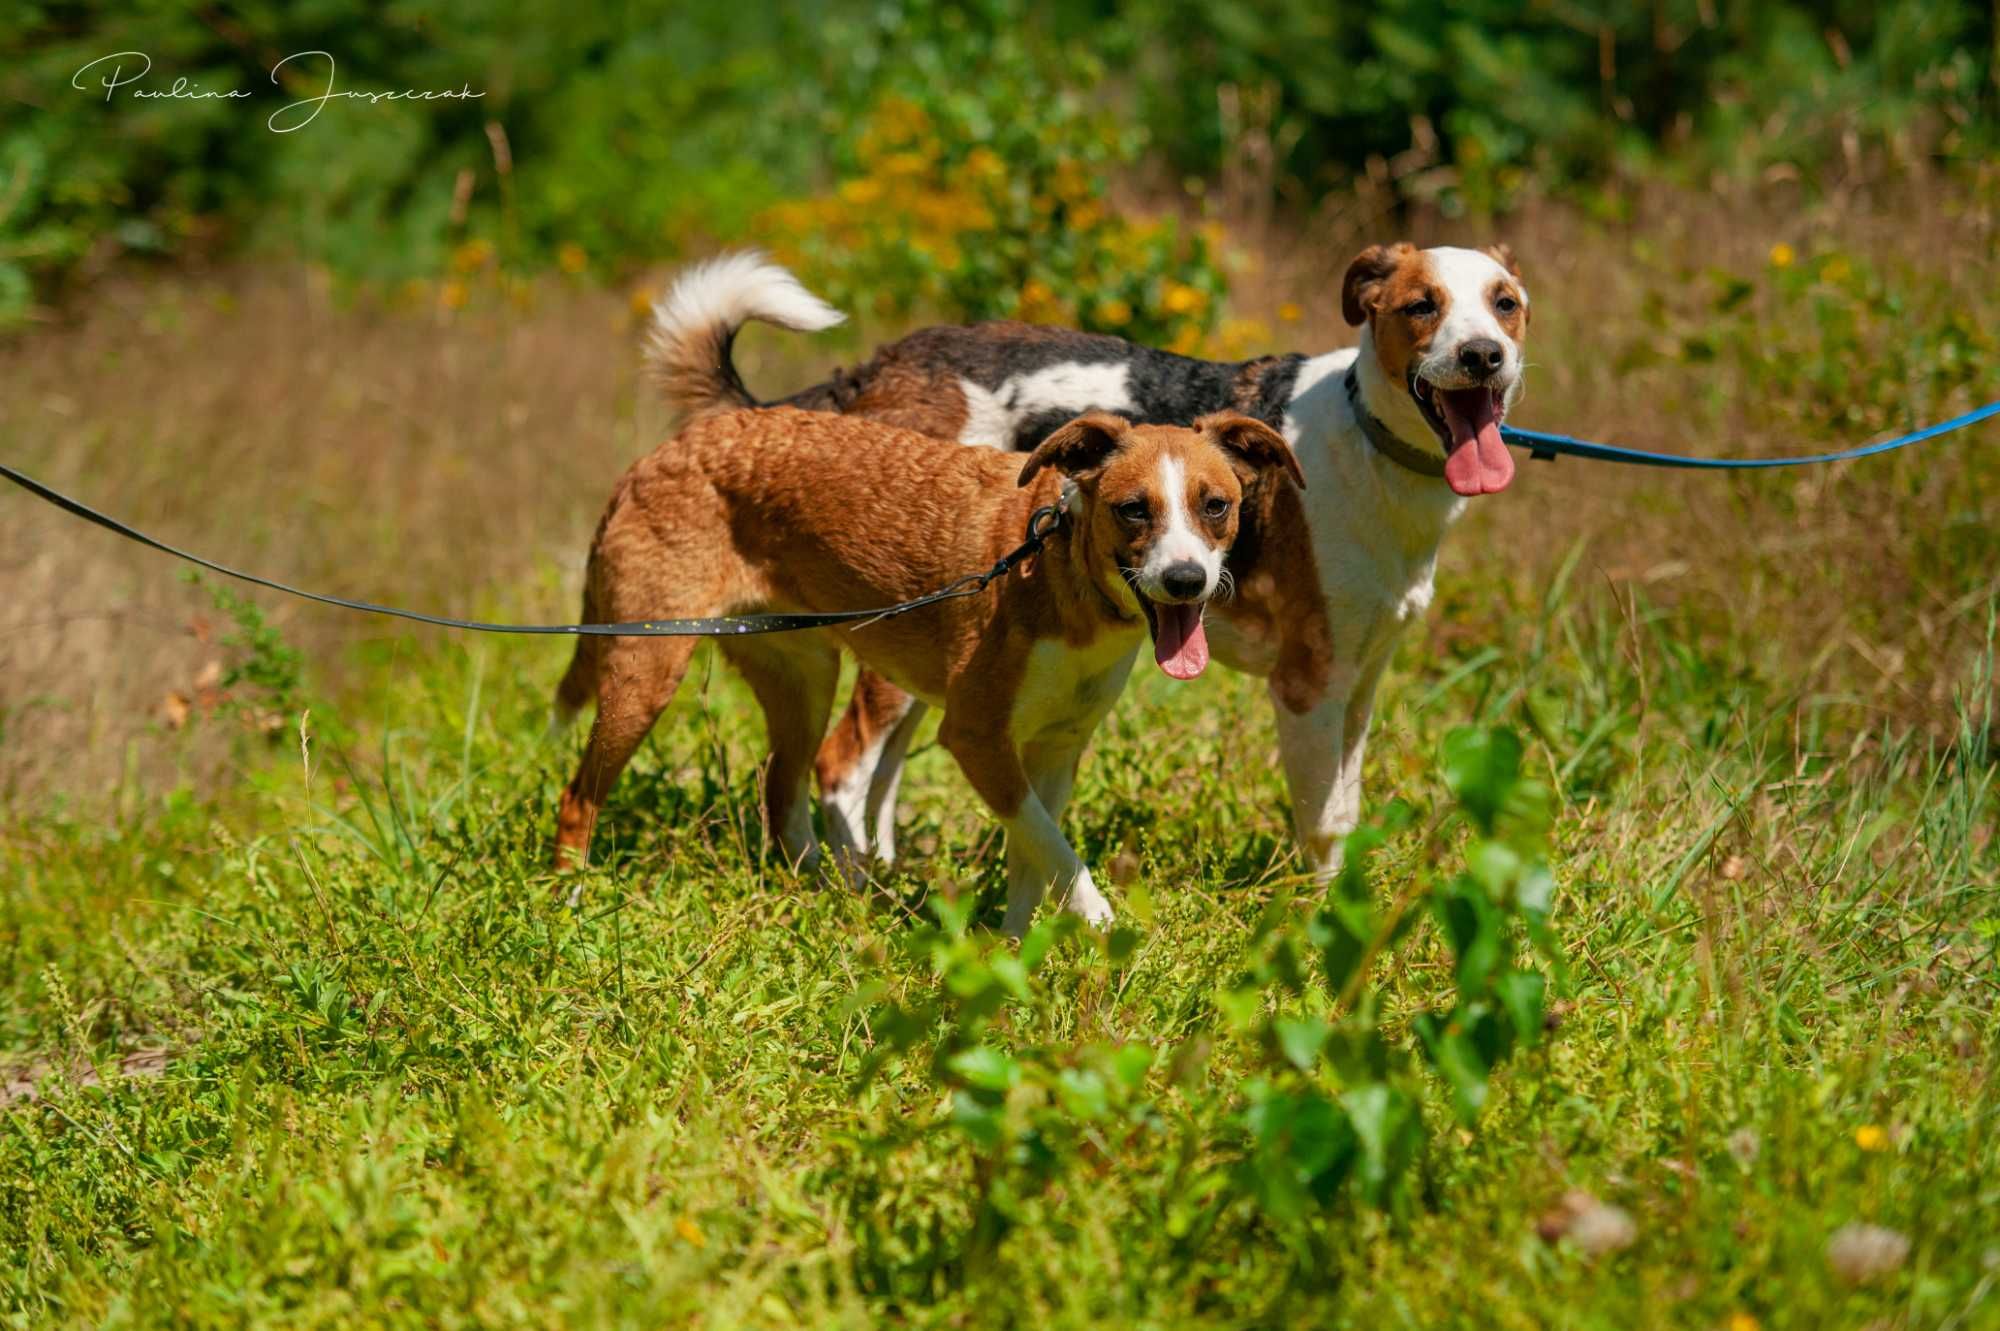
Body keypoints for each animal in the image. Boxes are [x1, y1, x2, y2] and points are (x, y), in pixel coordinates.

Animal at [556, 355, 1296, 923]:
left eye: (1215, 505)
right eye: (1134, 509)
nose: (1185, 579)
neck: (1059, 568)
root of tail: (658, 457)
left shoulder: (1056, 752)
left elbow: (1035, 859)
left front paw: (1015, 957)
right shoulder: (976, 740)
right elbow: (1058, 853)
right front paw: (1101, 922)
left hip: (804, 678)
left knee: (782, 786)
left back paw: (826, 894)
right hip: (646, 672)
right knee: (579, 797)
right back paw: (568, 903)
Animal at [644, 243, 1528, 875]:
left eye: (1506, 304)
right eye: (1421, 306)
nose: (1484, 355)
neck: (1371, 443)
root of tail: (874, 371)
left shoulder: (1361, 682)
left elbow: (1344, 811)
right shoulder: (1309, 684)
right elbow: (1322, 824)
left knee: (881, 773)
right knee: (844, 766)